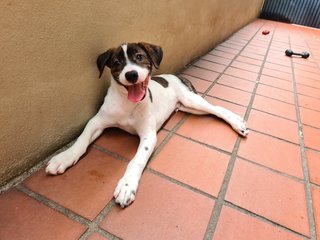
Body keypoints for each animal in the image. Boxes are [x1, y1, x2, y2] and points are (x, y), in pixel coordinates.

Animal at [45, 42, 250, 207]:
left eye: (139, 57)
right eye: (117, 63)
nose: (131, 74)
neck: (127, 103)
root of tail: (175, 76)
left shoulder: (148, 136)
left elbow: (136, 160)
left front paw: (127, 185)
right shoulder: (97, 121)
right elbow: (82, 139)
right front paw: (64, 157)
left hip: (192, 100)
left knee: (216, 108)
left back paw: (237, 122)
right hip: (189, 108)